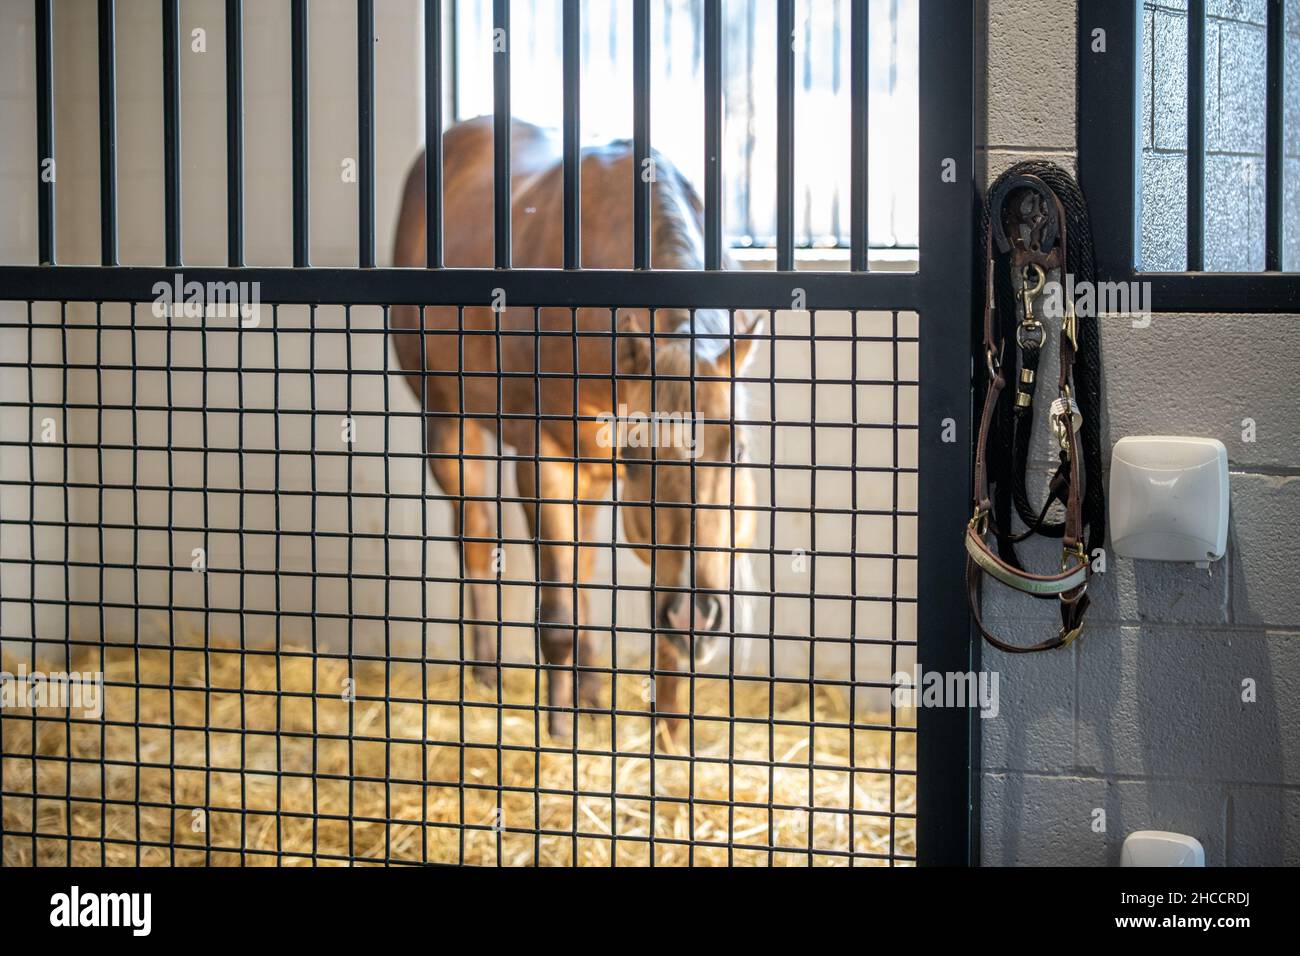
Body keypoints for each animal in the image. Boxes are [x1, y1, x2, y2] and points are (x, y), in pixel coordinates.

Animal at [391, 117, 759, 742]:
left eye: (736, 450)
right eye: (640, 459)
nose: (696, 614)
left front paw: (668, 734)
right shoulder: (546, 460)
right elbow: (559, 614)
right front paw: (561, 734)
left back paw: (588, 691)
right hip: (448, 420)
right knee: (477, 535)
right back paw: (488, 675)